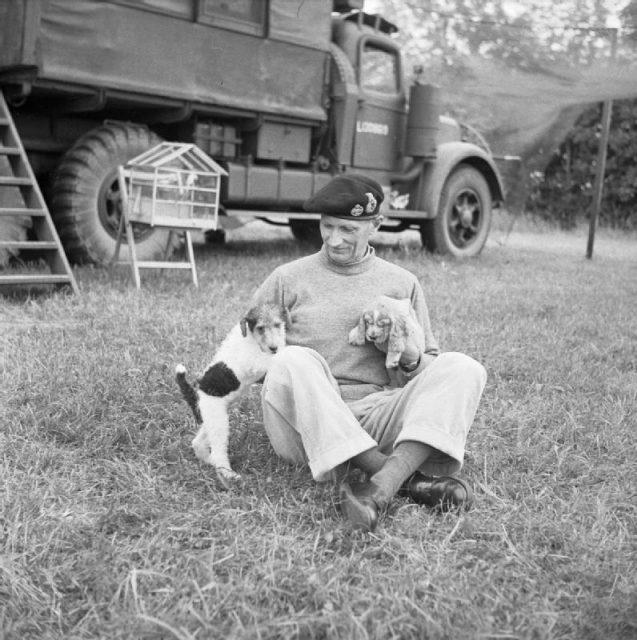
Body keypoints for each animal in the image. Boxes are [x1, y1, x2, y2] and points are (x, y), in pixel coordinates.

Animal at [176, 304, 290, 490]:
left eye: (277, 324)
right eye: (260, 328)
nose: (274, 347)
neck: (251, 337)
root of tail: (196, 394)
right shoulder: (257, 361)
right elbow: (275, 358)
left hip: (212, 420)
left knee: (198, 444)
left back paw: (210, 461)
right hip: (218, 422)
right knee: (219, 453)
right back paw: (230, 475)